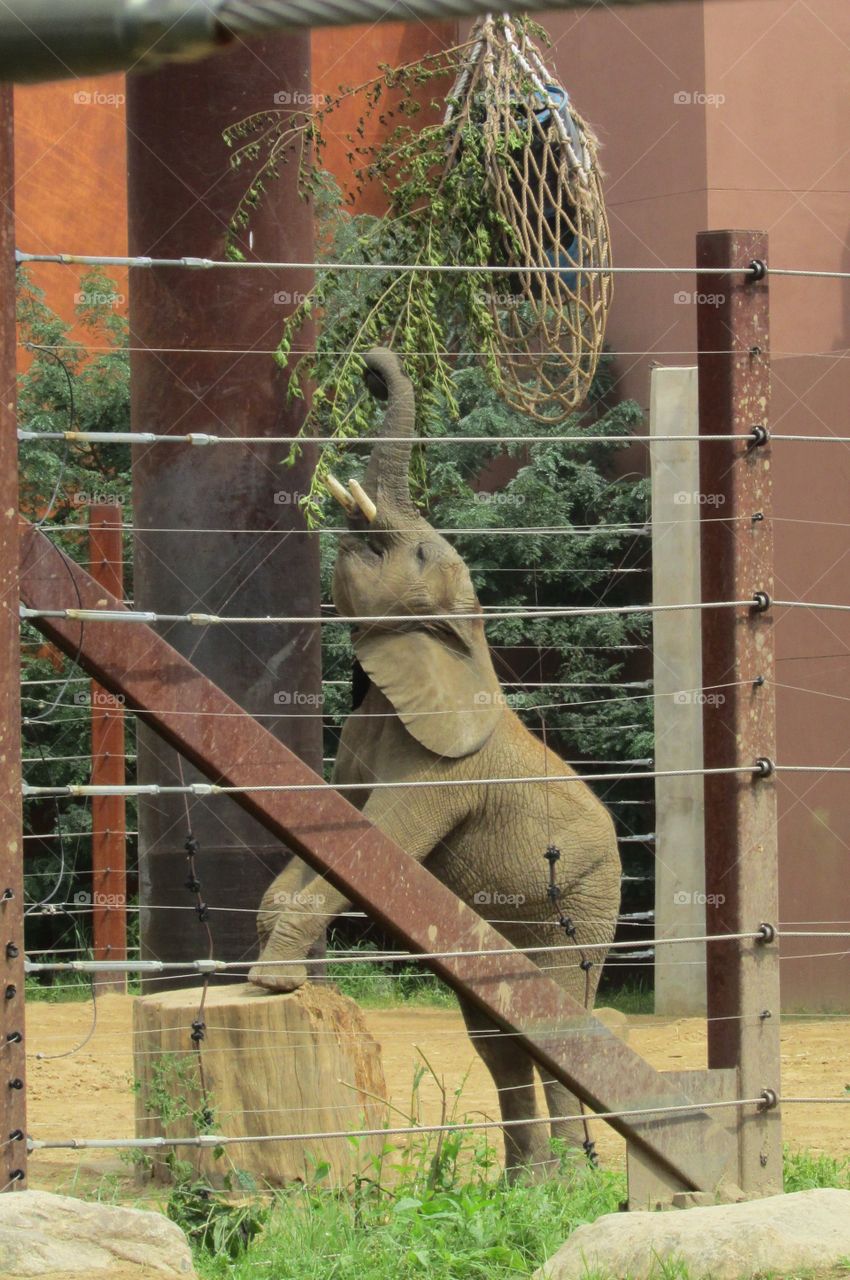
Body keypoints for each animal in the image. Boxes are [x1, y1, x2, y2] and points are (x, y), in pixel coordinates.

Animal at [249, 348, 622, 1177]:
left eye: (414, 551)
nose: (371, 369)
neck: (460, 634)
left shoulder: (443, 772)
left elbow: (376, 842)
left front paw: (268, 980)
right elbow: (331, 822)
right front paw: (266, 956)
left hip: (587, 902)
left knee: (560, 1023)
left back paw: (574, 1178)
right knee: (498, 1037)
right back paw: (529, 1182)